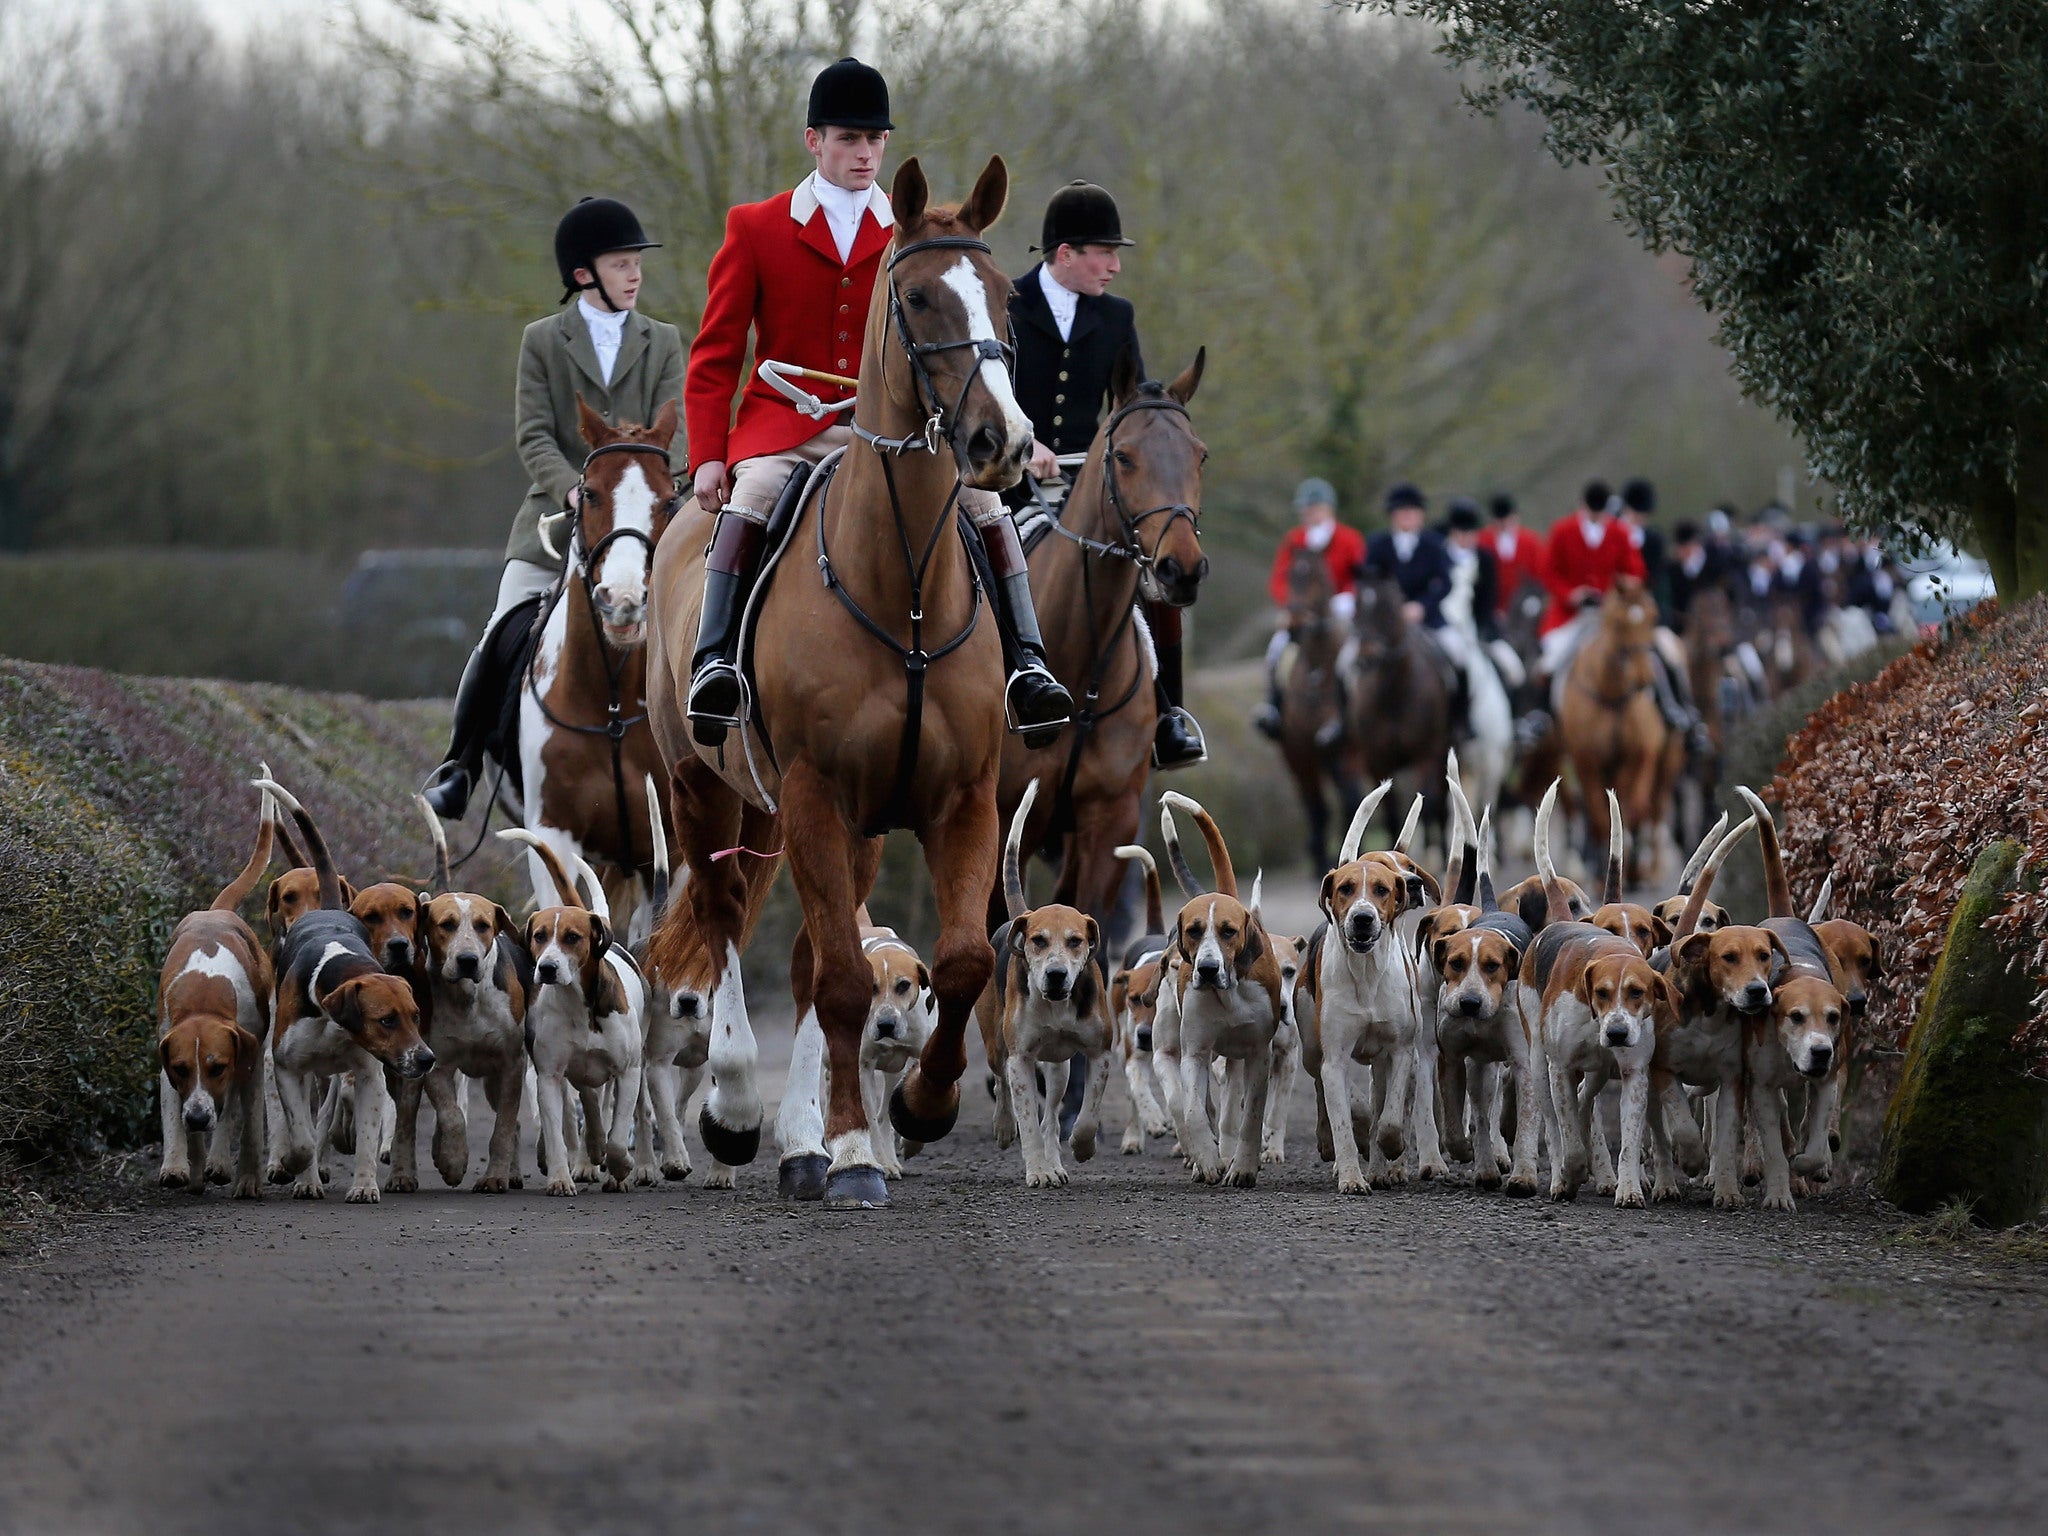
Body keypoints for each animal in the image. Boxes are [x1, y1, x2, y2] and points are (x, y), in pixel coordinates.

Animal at [516, 397, 684, 937]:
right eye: (589, 493)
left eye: (669, 500)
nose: (624, 601)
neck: (611, 701)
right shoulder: (552, 835)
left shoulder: (672, 849)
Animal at [651, 159, 1032, 1212]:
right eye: (919, 297)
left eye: (1008, 297)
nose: (1004, 442)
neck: (901, 590)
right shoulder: (817, 793)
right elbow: (847, 985)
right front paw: (859, 1150)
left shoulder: (960, 799)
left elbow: (961, 959)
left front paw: (921, 1109)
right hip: (707, 789)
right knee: (725, 923)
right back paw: (740, 1112)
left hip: (826, 824)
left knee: (807, 955)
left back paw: (798, 1143)